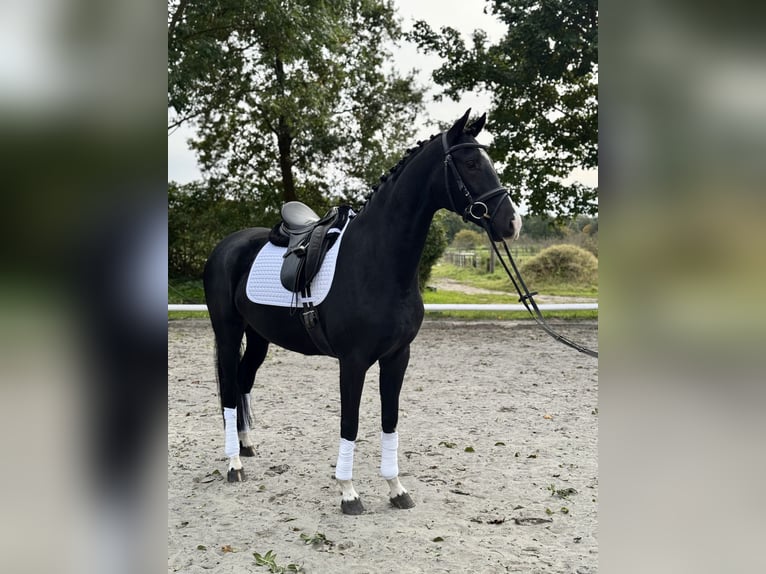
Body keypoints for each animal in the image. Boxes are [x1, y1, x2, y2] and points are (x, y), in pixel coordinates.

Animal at [202, 110, 520, 516]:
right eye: (470, 163)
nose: (511, 223)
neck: (376, 260)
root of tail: (226, 246)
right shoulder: (352, 362)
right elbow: (349, 423)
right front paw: (349, 493)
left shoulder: (397, 357)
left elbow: (389, 419)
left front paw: (396, 489)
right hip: (228, 333)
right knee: (229, 390)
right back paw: (234, 464)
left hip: (259, 337)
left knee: (243, 382)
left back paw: (245, 447)